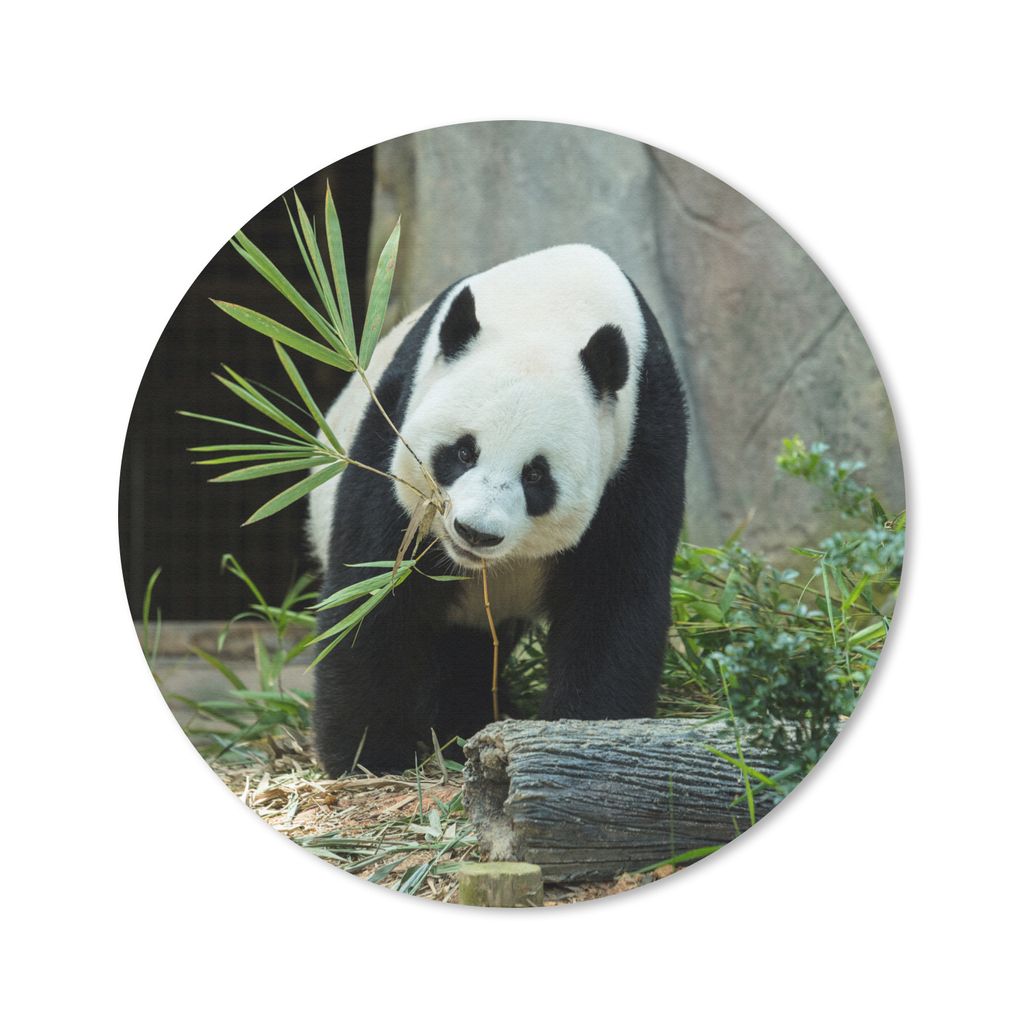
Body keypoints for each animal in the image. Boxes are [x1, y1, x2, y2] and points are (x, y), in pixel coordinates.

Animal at [307, 244, 687, 775]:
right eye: (464, 452)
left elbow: (612, 597)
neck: (549, 307)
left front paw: (585, 736)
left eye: (536, 476)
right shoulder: (395, 425)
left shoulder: (640, 447)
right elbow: (375, 591)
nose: (475, 532)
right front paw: (370, 755)